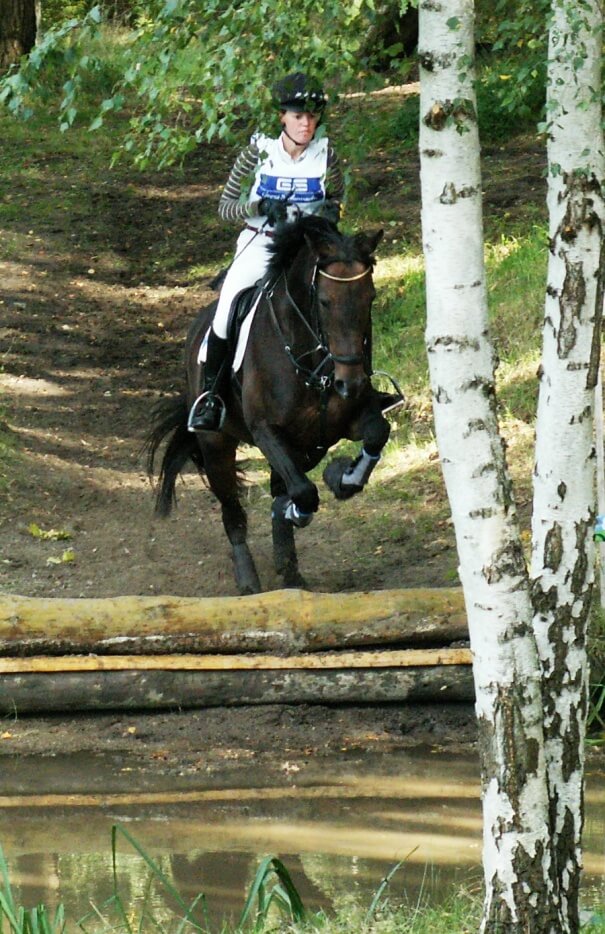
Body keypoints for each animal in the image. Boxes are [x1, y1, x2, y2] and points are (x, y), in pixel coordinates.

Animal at [146, 216, 392, 596]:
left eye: (370, 297)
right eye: (324, 301)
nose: (349, 384)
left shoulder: (339, 426)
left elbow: (378, 431)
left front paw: (343, 477)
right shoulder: (265, 430)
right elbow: (303, 493)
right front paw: (297, 509)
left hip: (305, 445)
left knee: (283, 484)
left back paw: (290, 572)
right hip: (216, 444)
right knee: (233, 509)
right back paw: (248, 578)